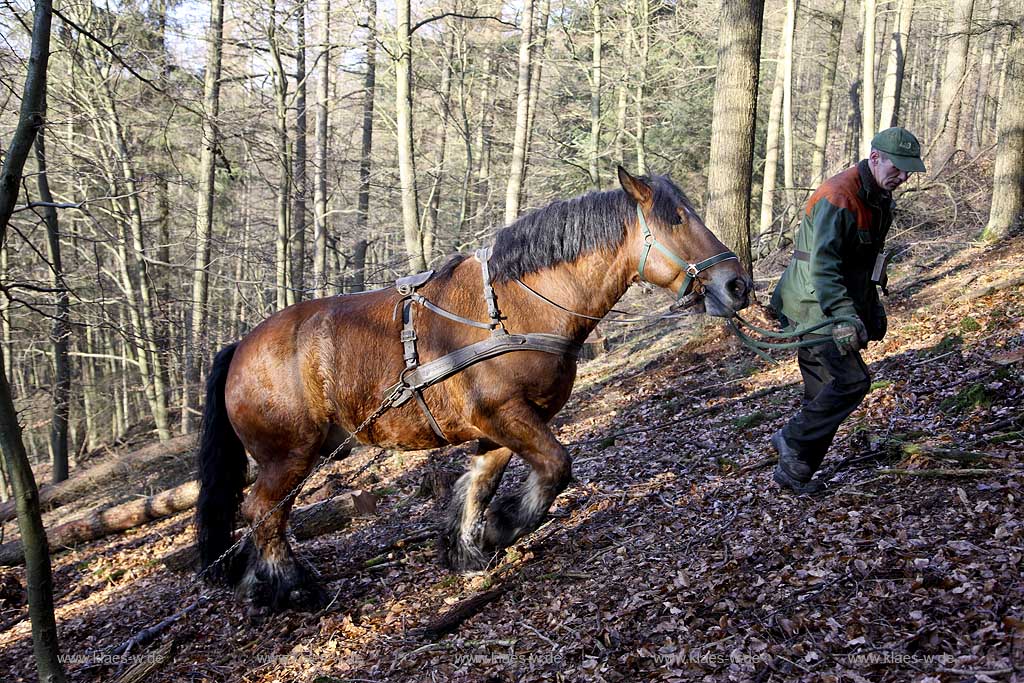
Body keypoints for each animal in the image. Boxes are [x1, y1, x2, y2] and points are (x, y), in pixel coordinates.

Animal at [193, 167, 753, 610]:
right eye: (676, 219)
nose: (737, 285)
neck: (518, 305)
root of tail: (241, 346)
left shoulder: (501, 425)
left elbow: (481, 484)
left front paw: (469, 548)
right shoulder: (504, 413)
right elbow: (556, 466)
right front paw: (504, 526)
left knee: (262, 516)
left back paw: (256, 588)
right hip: (288, 456)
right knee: (262, 513)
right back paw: (291, 588)